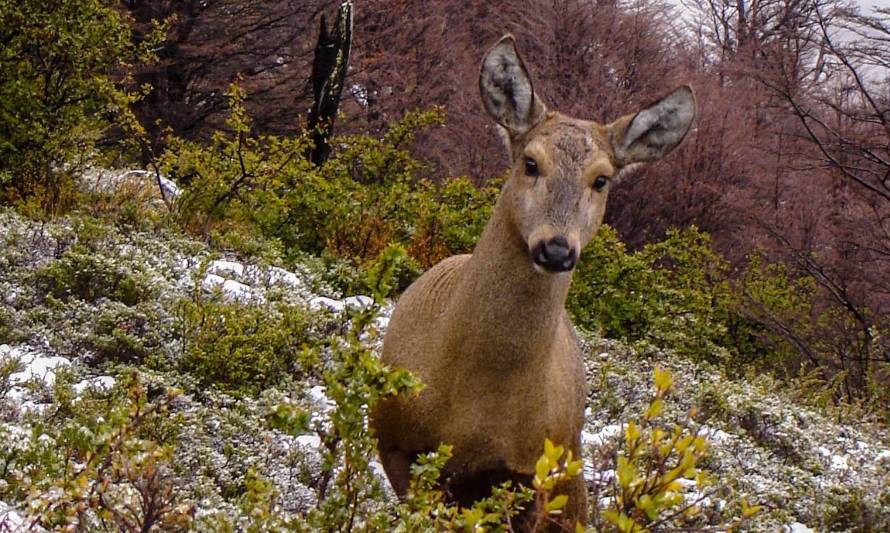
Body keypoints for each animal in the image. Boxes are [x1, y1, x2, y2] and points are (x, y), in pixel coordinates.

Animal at [368, 34, 692, 528]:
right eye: (530, 162)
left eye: (602, 179)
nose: (556, 249)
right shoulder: (395, 442)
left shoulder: (528, 472)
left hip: (567, 464)